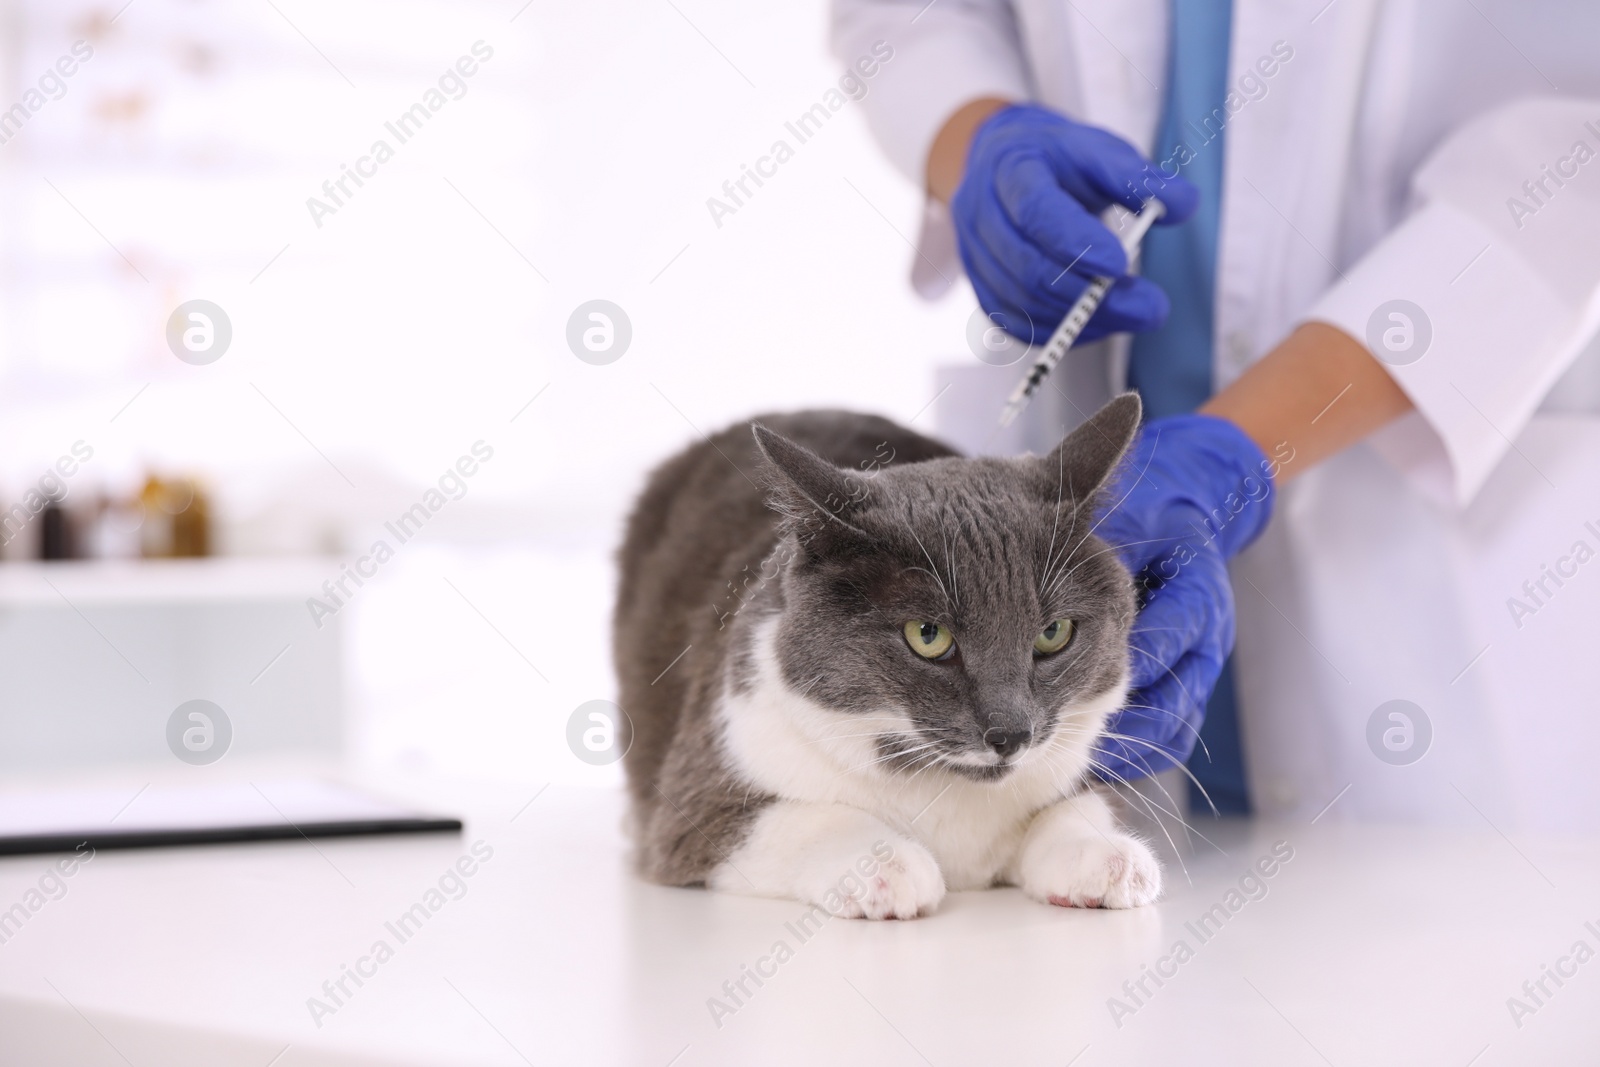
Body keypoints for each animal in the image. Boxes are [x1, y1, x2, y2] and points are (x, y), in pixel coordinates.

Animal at [608, 391, 1152, 921]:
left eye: (1054, 633)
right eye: (928, 635)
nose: (1011, 733)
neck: (944, 784)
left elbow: (1079, 805)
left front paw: (1107, 857)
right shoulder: (702, 795)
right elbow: (794, 818)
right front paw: (887, 868)